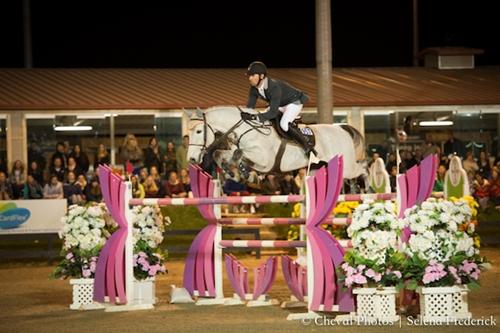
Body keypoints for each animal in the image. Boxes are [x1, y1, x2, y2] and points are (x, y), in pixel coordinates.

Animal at [188, 105, 368, 179]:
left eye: (198, 131)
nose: (191, 159)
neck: (245, 129)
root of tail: (342, 128)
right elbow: (221, 153)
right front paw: (231, 171)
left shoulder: (265, 160)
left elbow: (239, 153)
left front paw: (243, 170)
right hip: (317, 168)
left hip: (348, 168)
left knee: (363, 169)